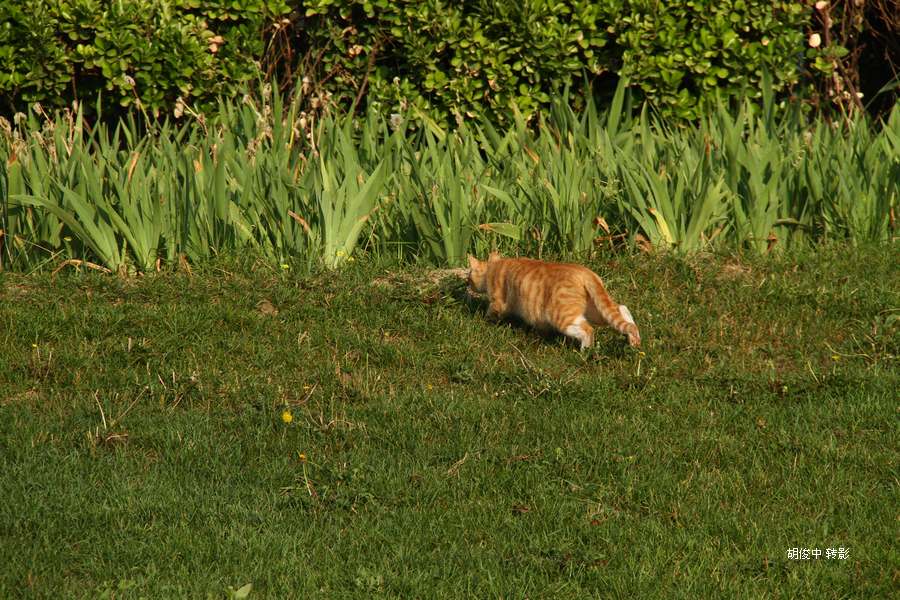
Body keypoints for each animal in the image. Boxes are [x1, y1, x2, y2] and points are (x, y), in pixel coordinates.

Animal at [464, 252, 640, 346]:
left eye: (469, 278)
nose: (467, 284)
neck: (495, 266)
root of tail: (585, 272)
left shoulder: (497, 303)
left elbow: (490, 314)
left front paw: (482, 322)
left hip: (562, 315)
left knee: (587, 330)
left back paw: (585, 352)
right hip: (596, 310)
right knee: (622, 310)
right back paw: (634, 340)